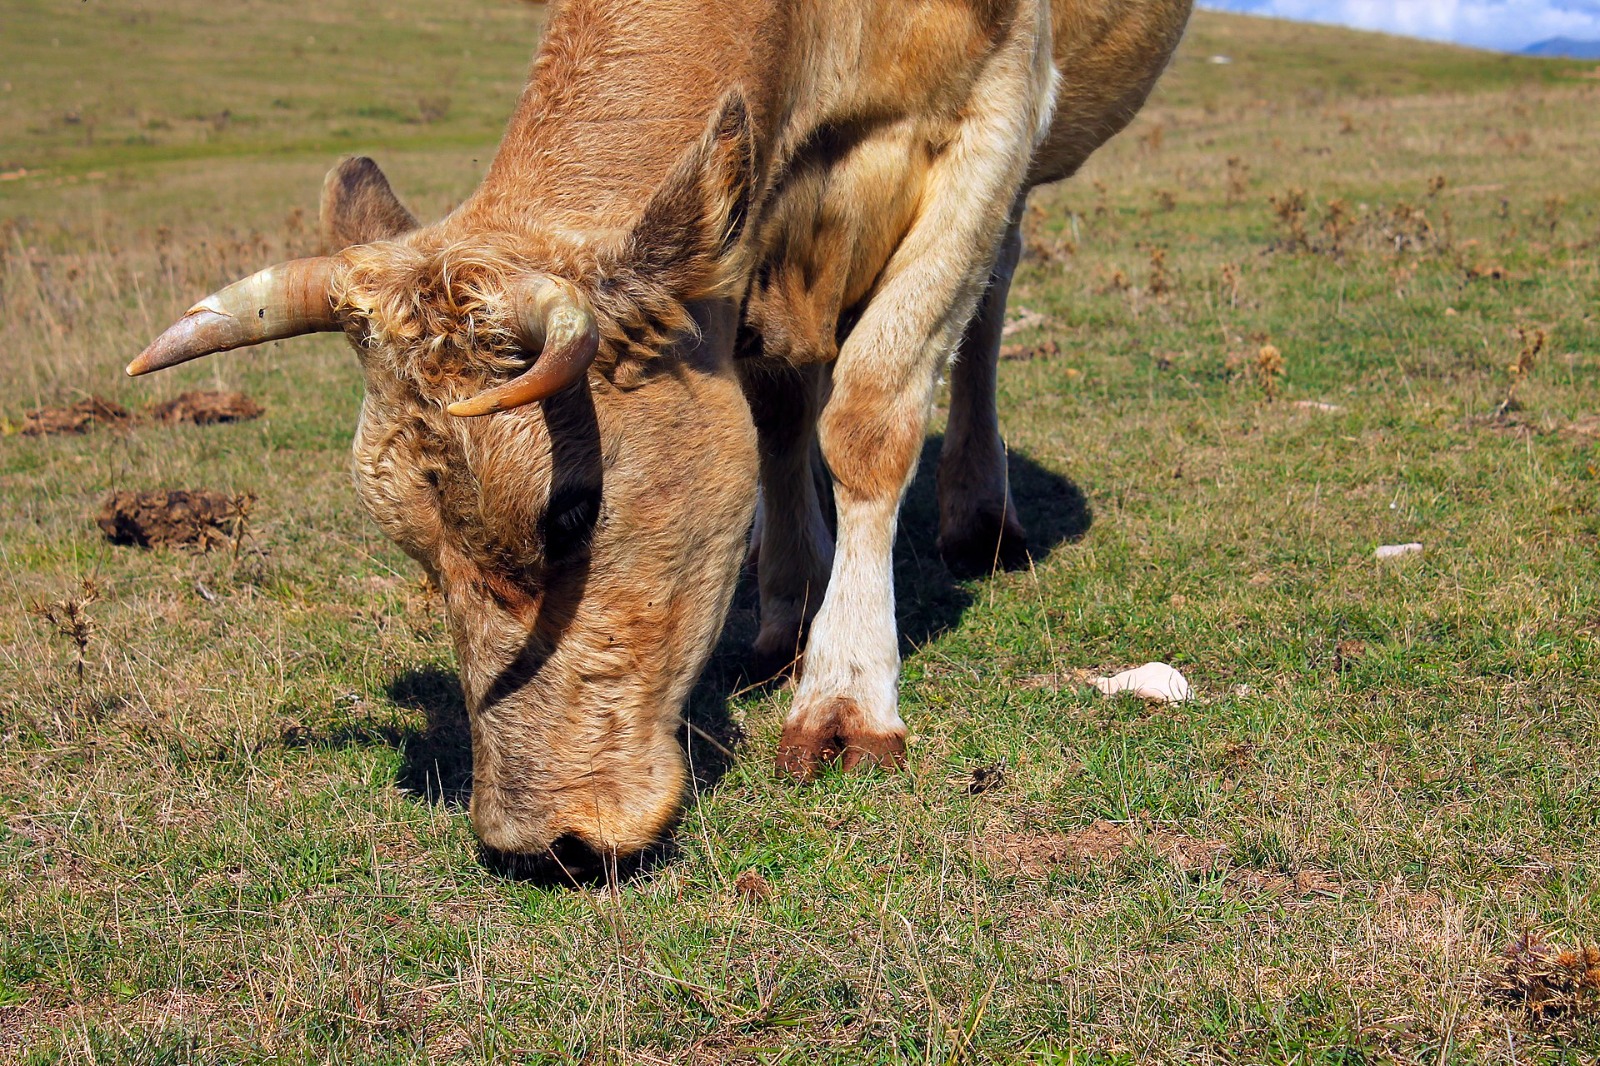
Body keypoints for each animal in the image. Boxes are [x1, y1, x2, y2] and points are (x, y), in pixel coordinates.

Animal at [129, 0, 1193, 863]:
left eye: (568, 511)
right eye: (413, 547)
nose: (537, 843)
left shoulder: (997, 108)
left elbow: (871, 410)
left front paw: (845, 698)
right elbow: (776, 406)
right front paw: (788, 613)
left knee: (991, 289)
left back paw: (979, 515)